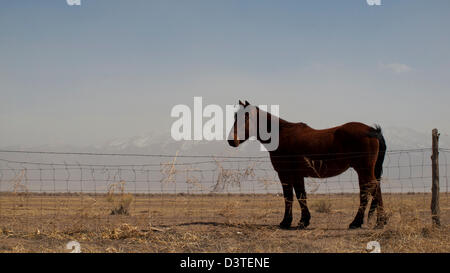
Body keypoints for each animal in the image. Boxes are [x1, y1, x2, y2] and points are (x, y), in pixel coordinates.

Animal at [229, 100, 386, 227]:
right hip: (363, 171)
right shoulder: (296, 176)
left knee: (372, 189)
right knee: (367, 191)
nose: (232, 140)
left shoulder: (286, 175)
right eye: (235, 117)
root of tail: (371, 130)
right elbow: (299, 196)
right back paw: (359, 222)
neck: (282, 135)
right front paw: (301, 221)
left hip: (364, 169)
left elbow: (292, 197)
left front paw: (291, 222)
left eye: (246, 117)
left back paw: (378, 222)